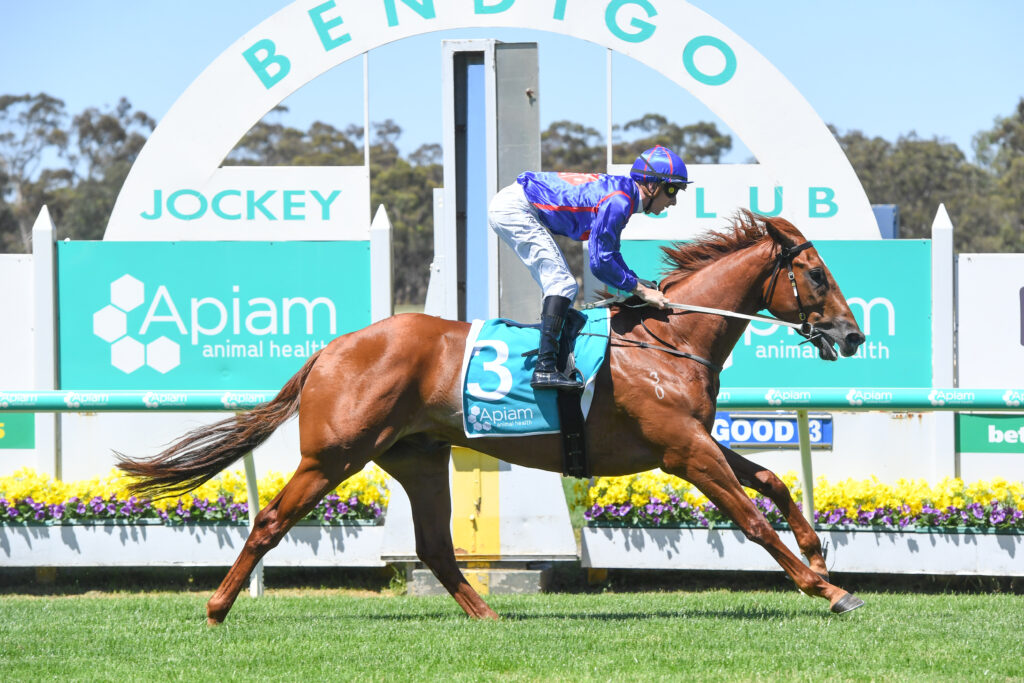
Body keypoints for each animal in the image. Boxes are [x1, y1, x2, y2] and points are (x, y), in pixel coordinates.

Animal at [117, 209, 867, 624]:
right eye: (817, 273)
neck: (667, 337)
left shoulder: (692, 439)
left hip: (418, 457)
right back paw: (217, 608)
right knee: (271, 520)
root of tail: (332, 347)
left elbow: (771, 481)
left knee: (434, 545)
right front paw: (826, 589)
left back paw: (489, 612)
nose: (853, 334)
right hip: (334, 455)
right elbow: (750, 518)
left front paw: (818, 549)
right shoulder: (683, 451)